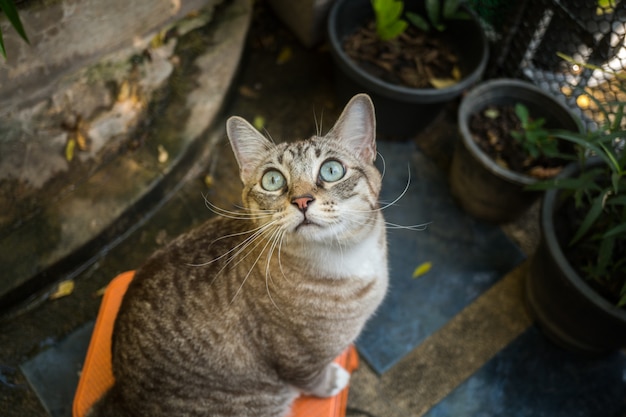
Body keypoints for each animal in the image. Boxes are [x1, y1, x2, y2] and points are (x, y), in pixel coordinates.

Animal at [90, 93, 388, 416]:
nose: (302, 200)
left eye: (332, 170)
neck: (345, 259)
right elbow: (313, 380)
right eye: (272, 180)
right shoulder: (297, 359)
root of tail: (121, 395)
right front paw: (333, 381)